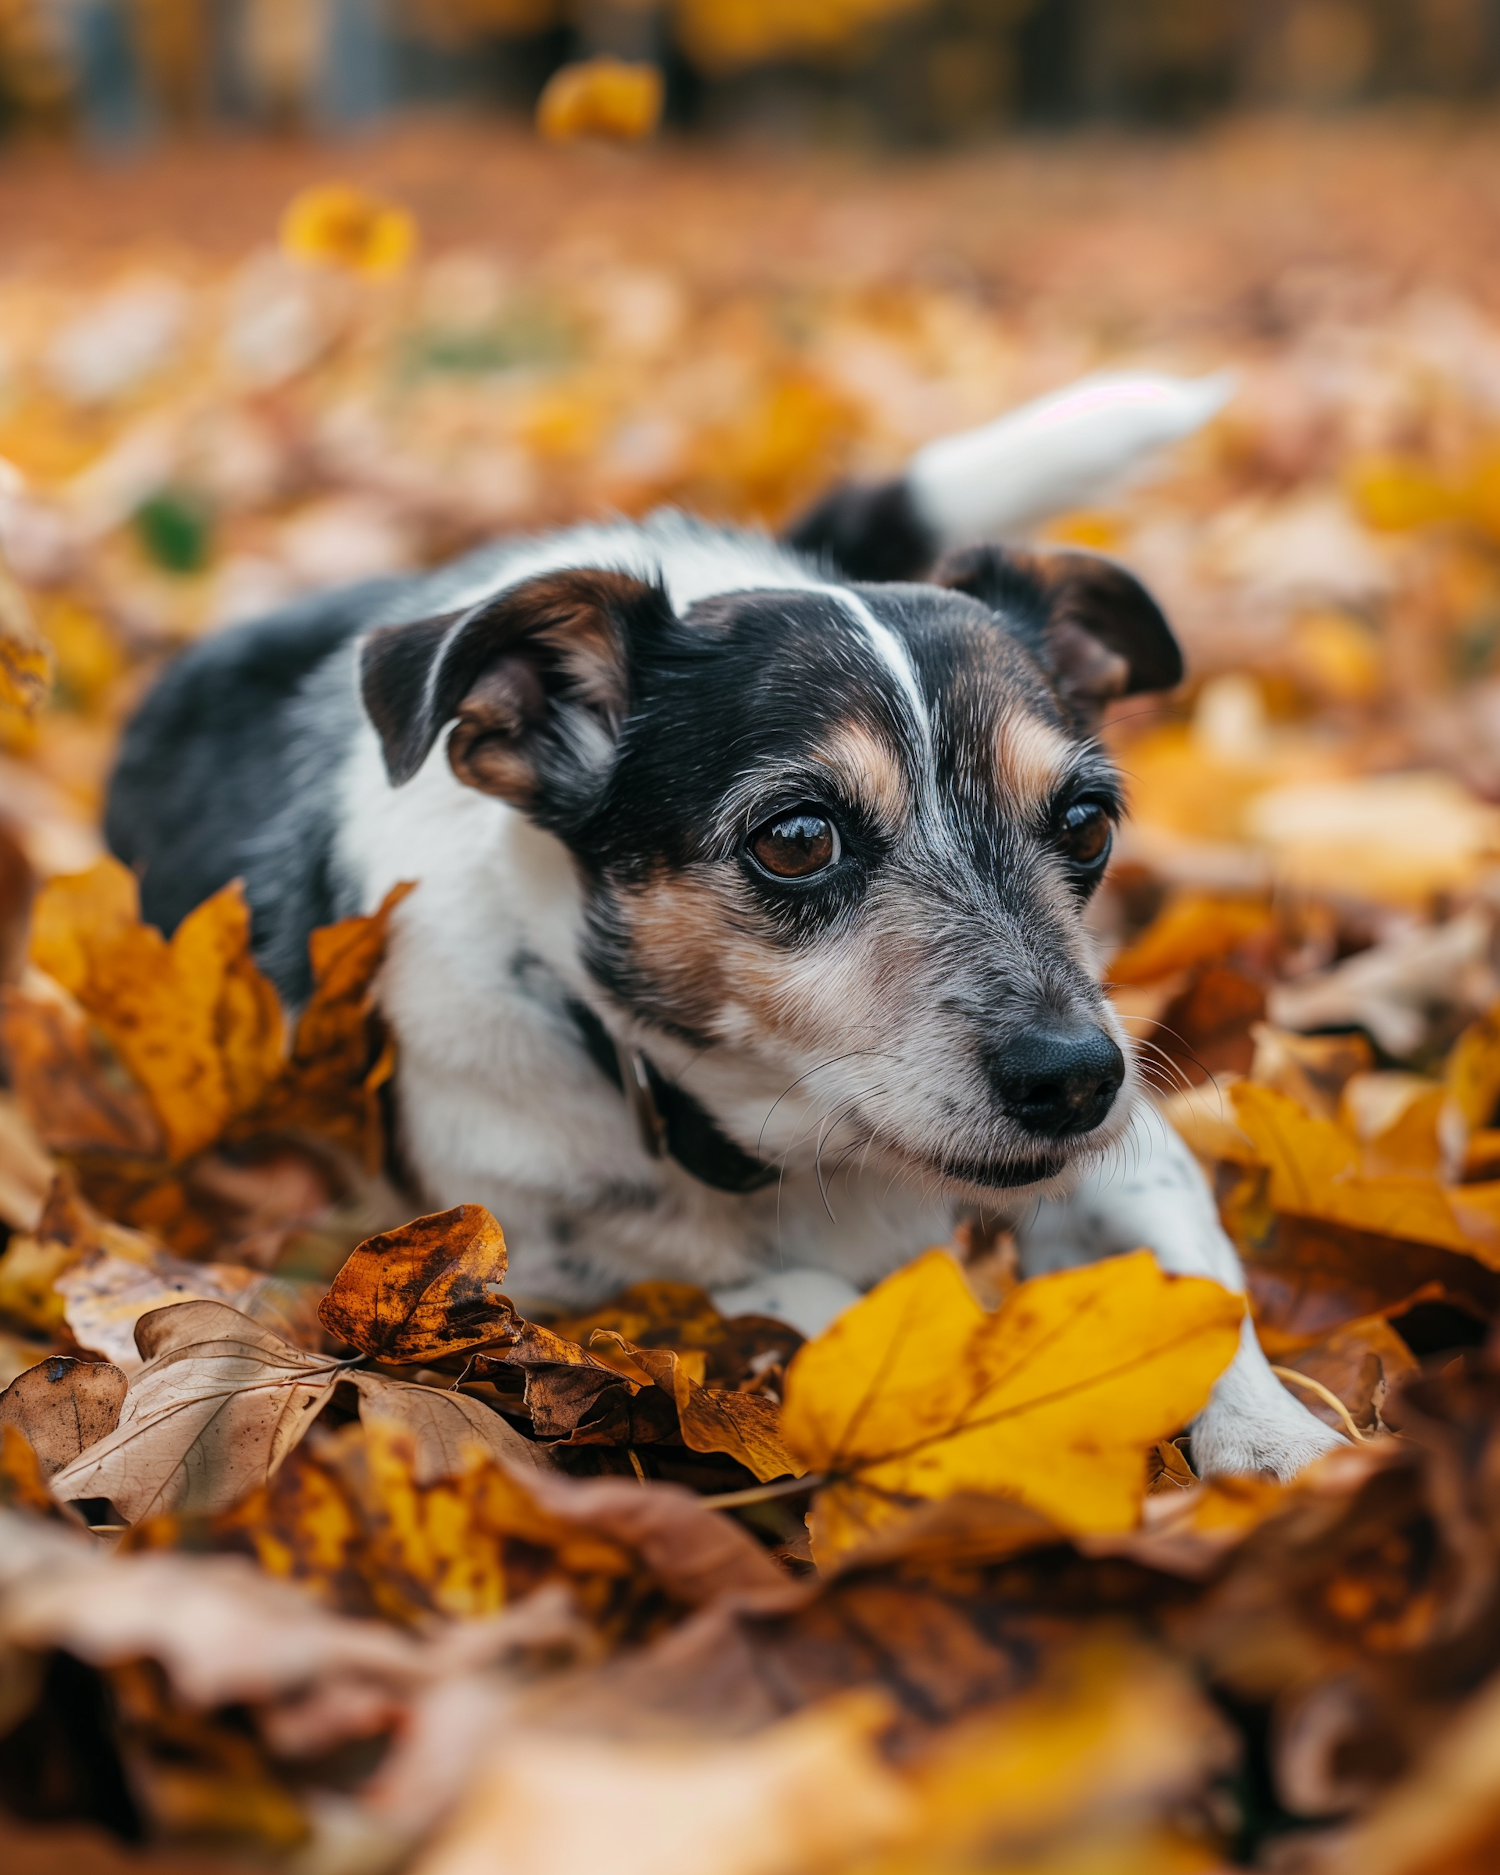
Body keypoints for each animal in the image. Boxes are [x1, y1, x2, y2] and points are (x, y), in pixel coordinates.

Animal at [111, 369, 1342, 1477]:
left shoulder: (1134, 1156)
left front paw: (1283, 1445)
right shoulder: (544, 1266)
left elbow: (1196, 1287)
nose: (1073, 1076)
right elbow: (793, 1293)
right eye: (796, 838)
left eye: (1087, 821)